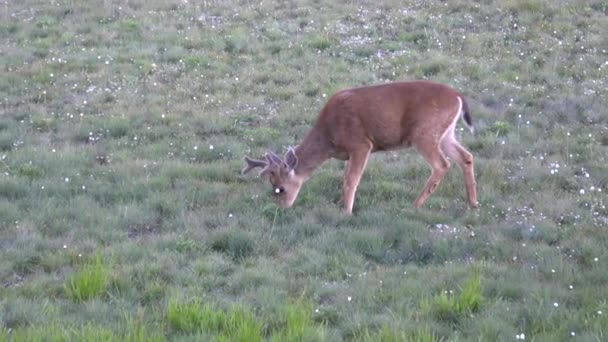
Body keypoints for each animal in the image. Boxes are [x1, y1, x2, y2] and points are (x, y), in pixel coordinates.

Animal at [240, 81, 478, 214]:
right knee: (466, 156)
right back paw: (473, 204)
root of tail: (458, 97)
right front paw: (341, 205)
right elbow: (345, 178)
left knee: (442, 164)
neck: (329, 137)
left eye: (279, 188)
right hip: (445, 133)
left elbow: (351, 180)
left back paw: (415, 205)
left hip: (424, 133)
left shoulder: (361, 144)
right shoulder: (349, 153)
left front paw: (346, 211)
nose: (280, 209)